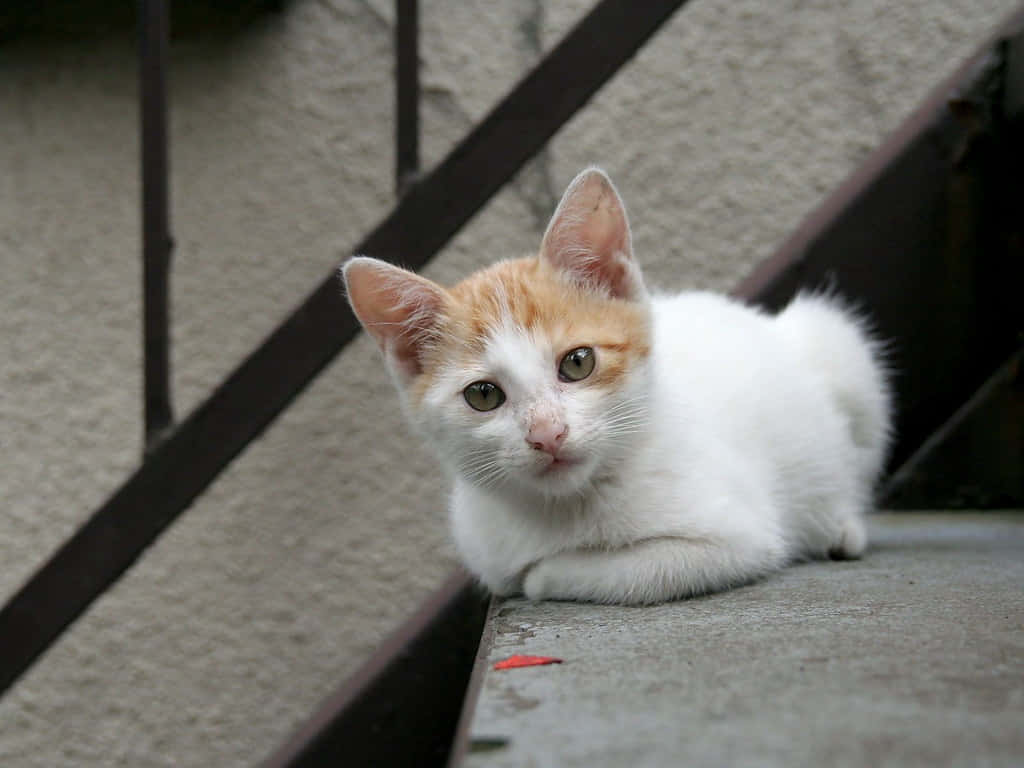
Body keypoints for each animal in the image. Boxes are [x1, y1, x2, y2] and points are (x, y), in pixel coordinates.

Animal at [342, 167, 888, 606]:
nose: (547, 433)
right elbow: (509, 576)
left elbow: (630, 571)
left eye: (578, 362)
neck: (571, 506)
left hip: (837, 345)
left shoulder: (739, 537)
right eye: (483, 395)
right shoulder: (486, 553)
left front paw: (547, 572)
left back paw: (842, 525)